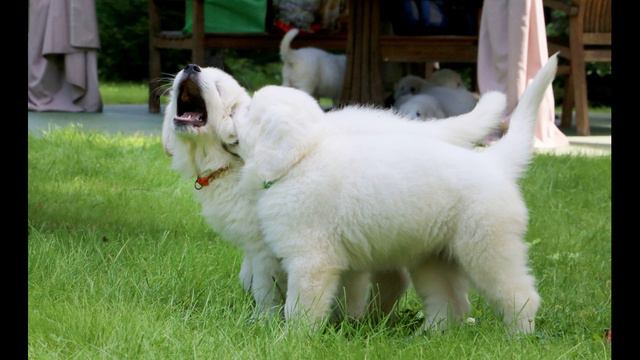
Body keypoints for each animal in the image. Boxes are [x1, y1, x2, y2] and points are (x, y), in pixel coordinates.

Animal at [162, 62, 508, 320]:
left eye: (219, 87)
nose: (190, 67)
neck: (230, 162)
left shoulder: (269, 243)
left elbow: (265, 285)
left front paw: (262, 320)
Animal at [236, 53, 560, 332]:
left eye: (250, 111)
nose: (233, 110)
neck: (300, 161)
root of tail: (492, 161)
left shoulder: (311, 260)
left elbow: (300, 307)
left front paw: (291, 338)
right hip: (435, 256)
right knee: (450, 301)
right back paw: (430, 336)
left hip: (489, 247)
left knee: (519, 294)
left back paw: (519, 334)